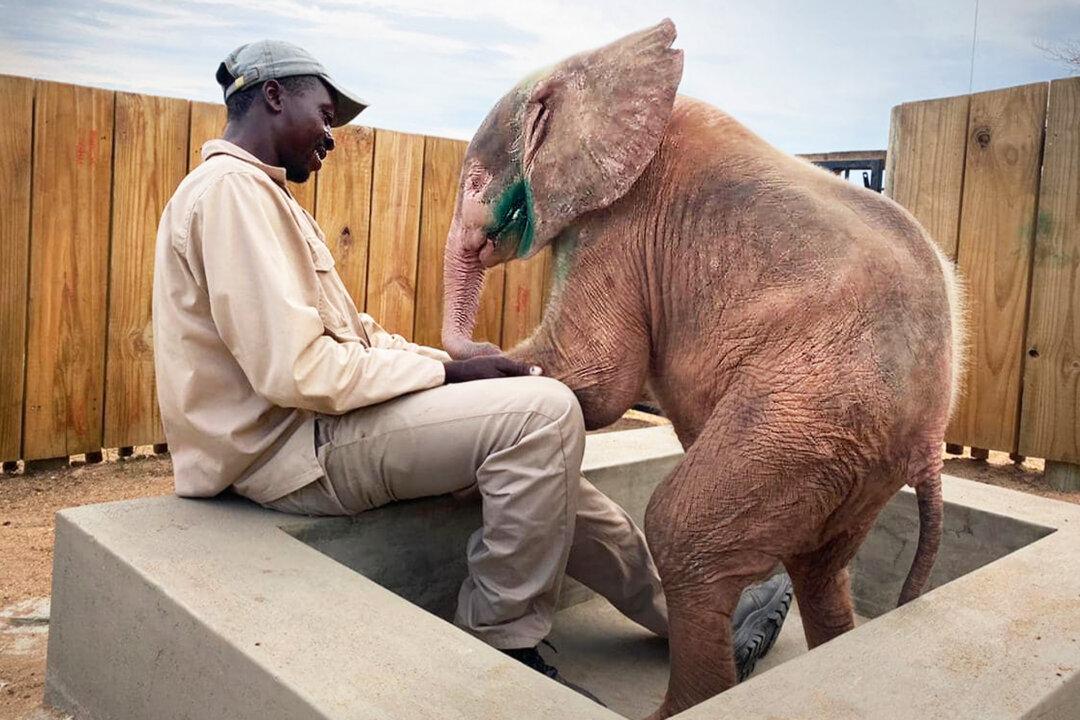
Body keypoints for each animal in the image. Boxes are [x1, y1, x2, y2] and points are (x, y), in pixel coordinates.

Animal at [441, 19, 961, 719]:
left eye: (474, 180)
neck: (595, 68)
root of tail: (931, 440)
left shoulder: (620, 221)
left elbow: (597, 377)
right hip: (852, 452)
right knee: (821, 572)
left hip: (813, 410)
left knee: (682, 533)